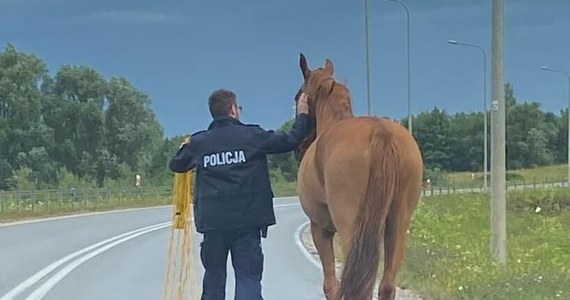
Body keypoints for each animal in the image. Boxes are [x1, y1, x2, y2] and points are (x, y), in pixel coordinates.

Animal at [292, 54, 422, 300]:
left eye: (297, 96)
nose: (299, 147)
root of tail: (381, 132)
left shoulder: (320, 229)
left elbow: (331, 286)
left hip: (351, 228)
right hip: (397, 224)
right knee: (386, 285)